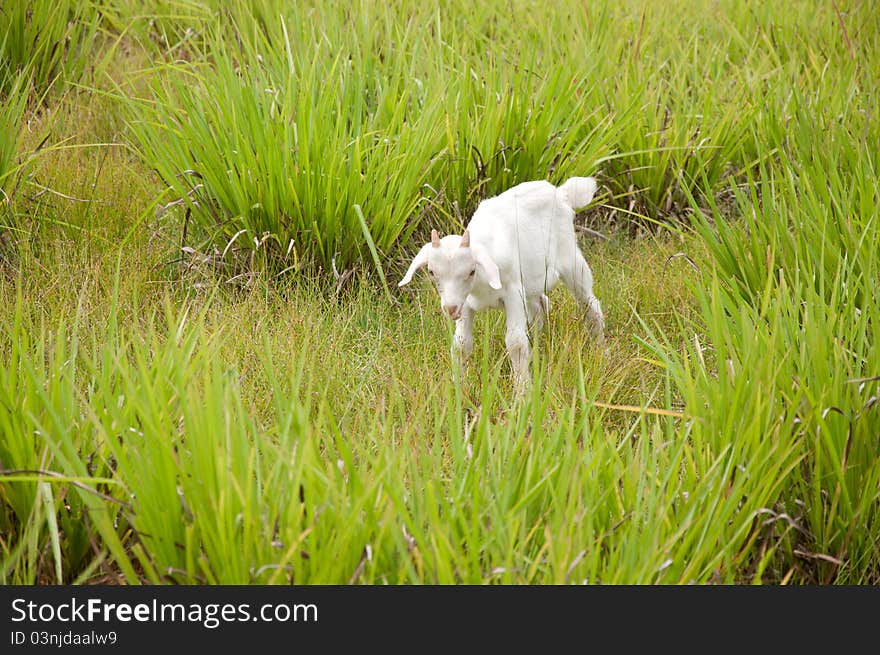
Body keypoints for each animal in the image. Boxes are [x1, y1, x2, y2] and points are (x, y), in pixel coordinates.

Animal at [398, 177, 604, 390]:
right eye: (432, 272)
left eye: (471, 271)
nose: (450, 309)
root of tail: (562, 192)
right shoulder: (466, 302)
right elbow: (462, 344)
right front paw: (458, 387)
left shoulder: (513, 292)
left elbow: (516, 342)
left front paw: (523, 391)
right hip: (532, 283)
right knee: (541, 307)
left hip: (571, 261)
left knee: (590, 303)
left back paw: (600, 349)